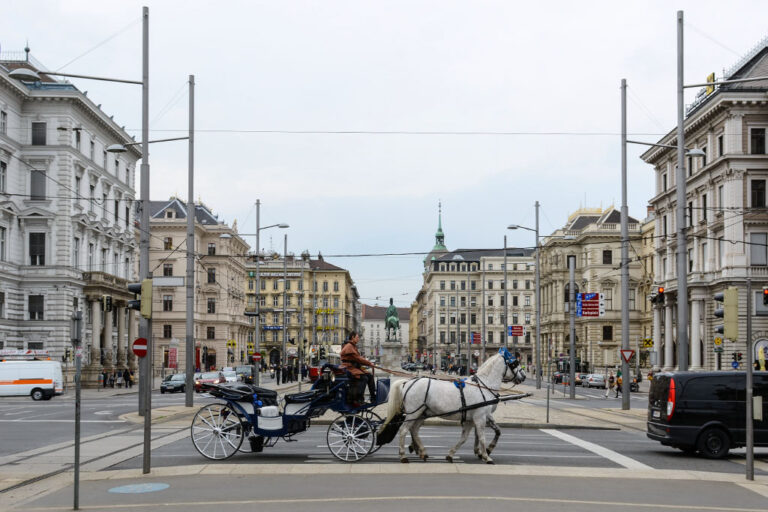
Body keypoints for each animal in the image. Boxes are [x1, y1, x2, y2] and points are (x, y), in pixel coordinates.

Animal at [380, 348, 524, 464]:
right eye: (514, 363)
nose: (523, 376)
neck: (483, 385)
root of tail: (408, 382)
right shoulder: (480, 417)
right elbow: (482, 437)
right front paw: (486, 456)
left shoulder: (475, 418)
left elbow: (469, 437)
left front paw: (453, 454)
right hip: (413, 413)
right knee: (404, 430)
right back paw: (403, 456)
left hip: (421, 413)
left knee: (414, 430)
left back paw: (422, 452)